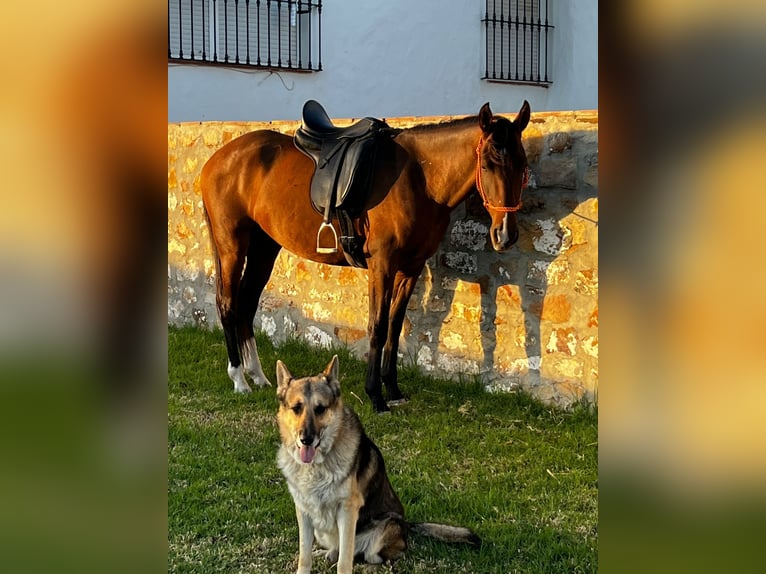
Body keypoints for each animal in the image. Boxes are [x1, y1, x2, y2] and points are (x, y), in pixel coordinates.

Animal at [201, 100, 531, 412]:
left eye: (523, 164)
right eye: (487, 164)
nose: (505, 234)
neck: (419, 178)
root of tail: (219, 159)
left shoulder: (411, 268)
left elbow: (395, 327)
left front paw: (393, 390)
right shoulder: (382, 265)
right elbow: (378, 326)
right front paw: (375, 396)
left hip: (264, 248)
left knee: (246, 305)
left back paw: (258, 376)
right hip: (231, 246)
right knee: (228, 304)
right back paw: (239, 379)